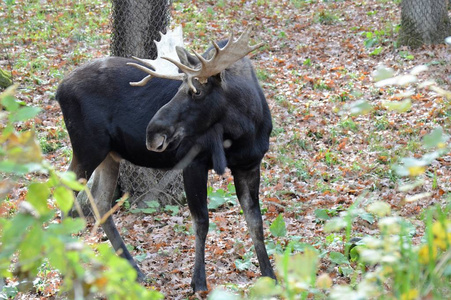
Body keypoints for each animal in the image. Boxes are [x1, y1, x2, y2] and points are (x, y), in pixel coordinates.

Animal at [56, 27, 276, 290]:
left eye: (196, 91)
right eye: (178, 87)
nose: (151, 132)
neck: (244, 130)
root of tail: (59, 90)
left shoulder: (250, 164)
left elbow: (256, 222)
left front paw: (270, 275)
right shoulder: (193, 162)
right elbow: (201, 221)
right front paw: (198, 281)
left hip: (109, 154)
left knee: (100, 202)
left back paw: (135, 270)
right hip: (87, 148)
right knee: (64, 192)